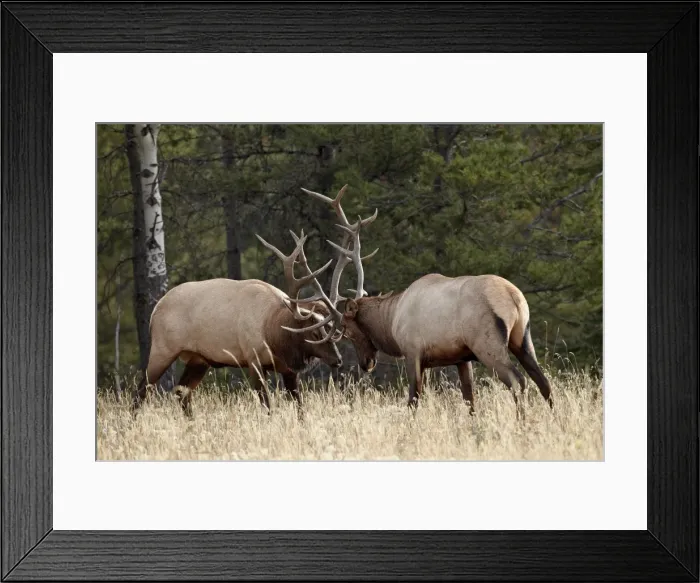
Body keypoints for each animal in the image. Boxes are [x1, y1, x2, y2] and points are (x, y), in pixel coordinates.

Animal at [131, 231, 344, 417]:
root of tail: (155, 311)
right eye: (314, 333)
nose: (338, 359)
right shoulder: (253, 360)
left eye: (332, 332)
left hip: (198, 359)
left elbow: (300, 408)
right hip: (163, 349)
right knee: (141, 391)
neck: (273, 333)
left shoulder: (288, 370)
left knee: (181, 392)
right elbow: (267, 406)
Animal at [286, 184, 554, 415]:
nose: (366, 364)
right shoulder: (461, 358)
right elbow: (470, 400)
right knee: (544, 383)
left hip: (487, 343)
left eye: (348, 331)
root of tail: (513, 298)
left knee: (518, 382)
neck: (391, 320)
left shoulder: (413, 352)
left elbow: (413, 399)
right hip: (522, 338)